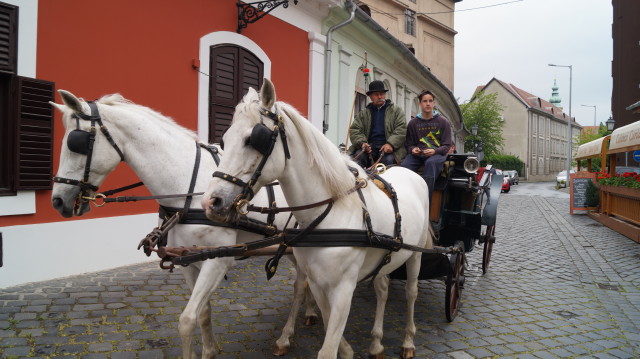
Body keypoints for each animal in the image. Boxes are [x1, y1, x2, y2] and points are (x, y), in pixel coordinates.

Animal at [51, 91, 316, 359]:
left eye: (76, 143)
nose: (58, 200)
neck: (187, 192)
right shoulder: (188, 261)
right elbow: (203, 313)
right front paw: (209, 351)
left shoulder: (217, 262)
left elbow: (187, 320)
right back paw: (311, 311)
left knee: (299, 285)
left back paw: (285, 336)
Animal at [202, 79, 432, 359]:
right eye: (224, 140)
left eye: (254, 139)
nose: (211, 202)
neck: (329, 217)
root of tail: (408, 172)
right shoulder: (318, 282)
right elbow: (328, 324)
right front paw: (347, 349)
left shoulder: (344, 289)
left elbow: (327, 348)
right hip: (386, 257)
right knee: (382, 289)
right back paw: (376, 342)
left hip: (415, 255)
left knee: (411, 293)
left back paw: (408, 341)